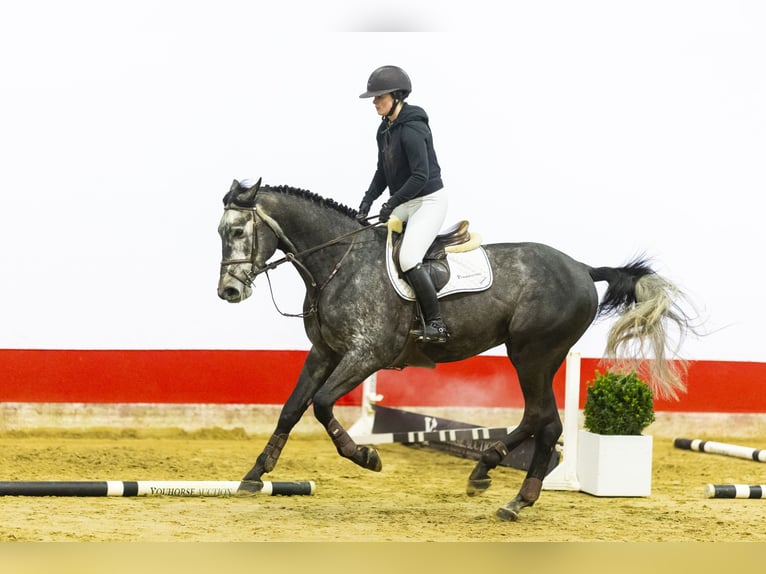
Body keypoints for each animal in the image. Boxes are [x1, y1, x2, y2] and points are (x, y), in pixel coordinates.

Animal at [218, 177, 696, 520]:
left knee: (545, 420)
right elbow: (291, 410)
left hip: (532, 354)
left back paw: (515, 497)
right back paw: (488, 473)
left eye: (238, 230)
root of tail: (582, 268)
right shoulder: (324, 353)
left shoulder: (365, 354)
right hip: (535, 356)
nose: (228, 292)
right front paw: (254, 475)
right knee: (538, 418)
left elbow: (319, 405)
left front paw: (368, 457)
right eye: (220, 231)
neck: (337, 262)